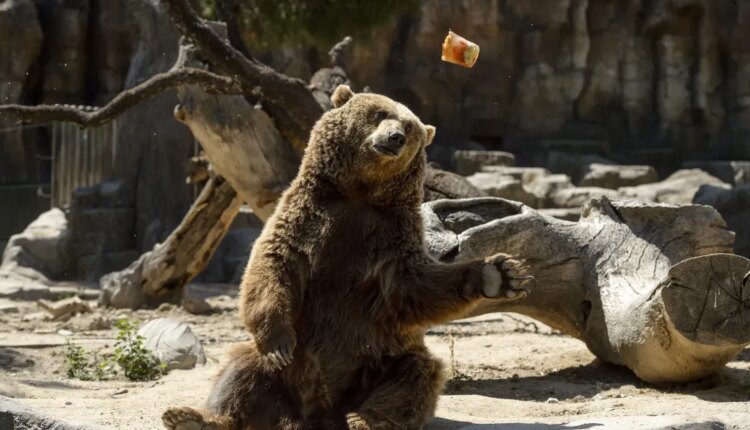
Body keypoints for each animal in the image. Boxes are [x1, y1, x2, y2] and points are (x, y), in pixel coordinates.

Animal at [162, 85, 531, 430]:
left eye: (409, 127)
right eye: (380, 113)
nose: (395, 138)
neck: (359, 194)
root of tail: (312, 415)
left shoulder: (390, 238)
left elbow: (414, 286)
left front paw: (500, 274)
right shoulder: (305, 218)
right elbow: (273, 264)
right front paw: (279, 342)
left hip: (379, 360)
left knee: (414, 378)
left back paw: (363, 420)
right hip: (282, 374)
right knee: (241, 370)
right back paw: (193, 417)